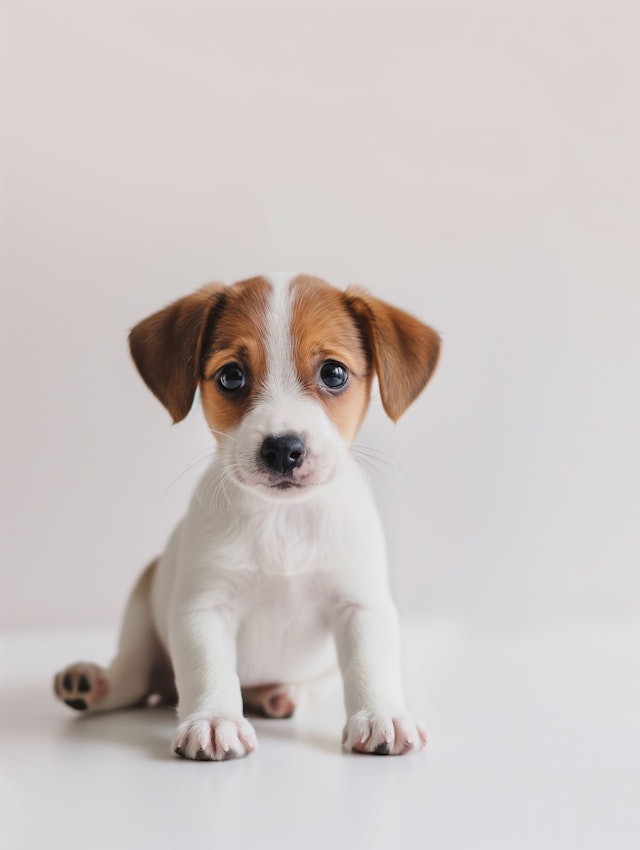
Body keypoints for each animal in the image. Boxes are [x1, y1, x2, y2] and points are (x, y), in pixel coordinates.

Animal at [53, 270, 440, 756]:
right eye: (232, 376)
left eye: (333, 373)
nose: (283, 449)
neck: (284, 519)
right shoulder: (204, 608)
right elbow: (210, 669)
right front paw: (215, 719)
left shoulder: (361, 605)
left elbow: (369, 664)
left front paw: (381, 714)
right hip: (144, 602)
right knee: (137, 675)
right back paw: (93, 684)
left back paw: (280, 693)